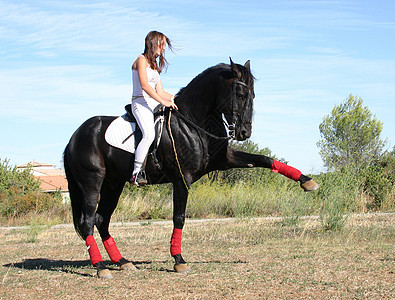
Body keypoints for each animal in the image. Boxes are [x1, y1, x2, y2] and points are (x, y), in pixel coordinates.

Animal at [64, 59, 318, 278]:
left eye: (253, 95)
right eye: (240, 94)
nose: (244, 133)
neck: (192, 122)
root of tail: (74, 137)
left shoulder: (224, 160)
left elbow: (263, 159)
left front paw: (306, 181)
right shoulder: (182, 178)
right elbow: (179, 218)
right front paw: (179, 260)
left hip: (113, 184)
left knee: (102, 219)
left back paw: (122, 261)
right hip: (93, 183)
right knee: (88, 221)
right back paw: (100, 267)